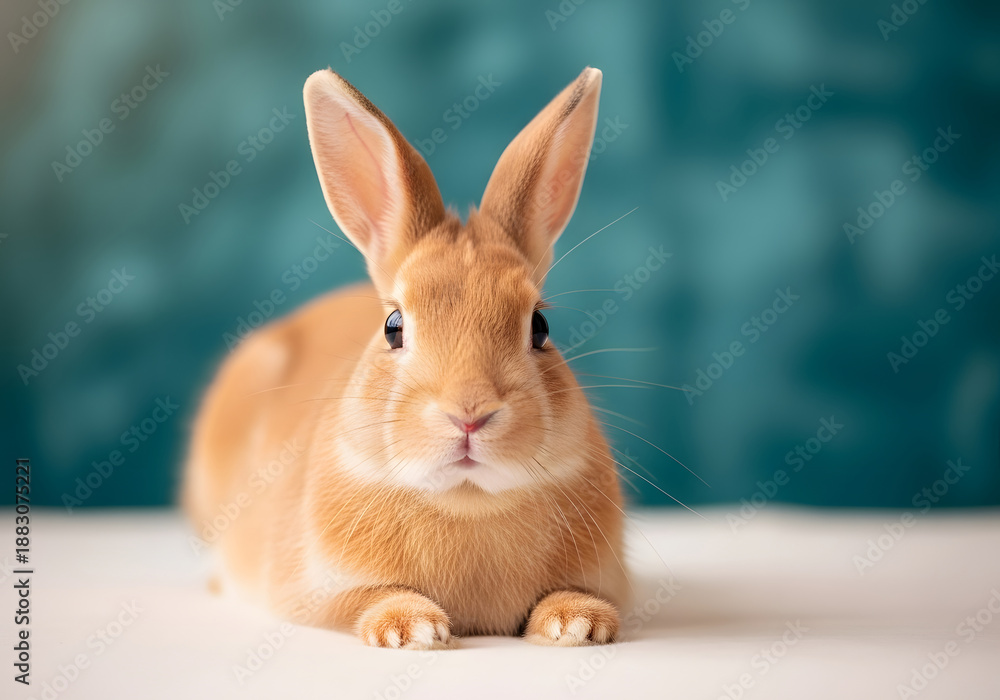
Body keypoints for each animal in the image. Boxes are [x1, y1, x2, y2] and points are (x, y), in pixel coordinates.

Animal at [183, 66, 628, 649]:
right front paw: (411, 627)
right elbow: (363, 601)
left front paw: (578, 622)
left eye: (540, 327)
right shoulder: (319, 592)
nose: (469, 414)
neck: (467, 499)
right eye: (393, 327)